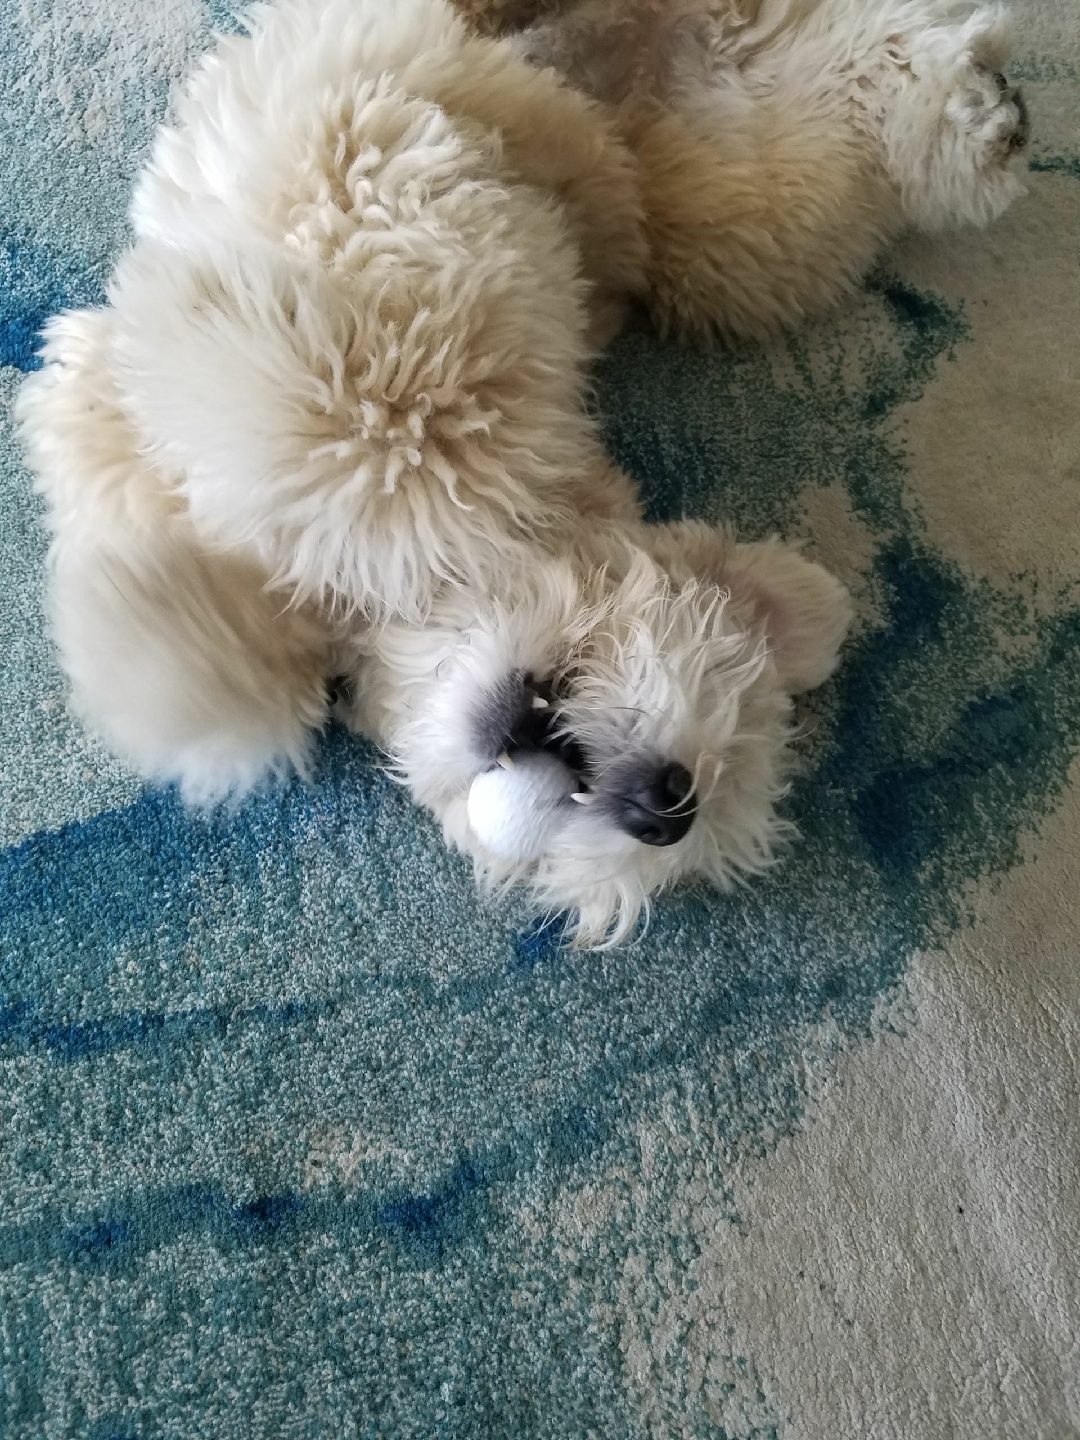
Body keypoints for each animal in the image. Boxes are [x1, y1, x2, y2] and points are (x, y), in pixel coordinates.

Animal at [17, 0, 1024, 942]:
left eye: (663, 843)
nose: (668, 803)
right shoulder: (431, 277)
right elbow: (360, 429)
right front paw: (215, 316)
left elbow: (257, 645)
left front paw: (141, 608)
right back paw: (989, 111)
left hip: (729, 225)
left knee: (850, 86)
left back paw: (981, 118)